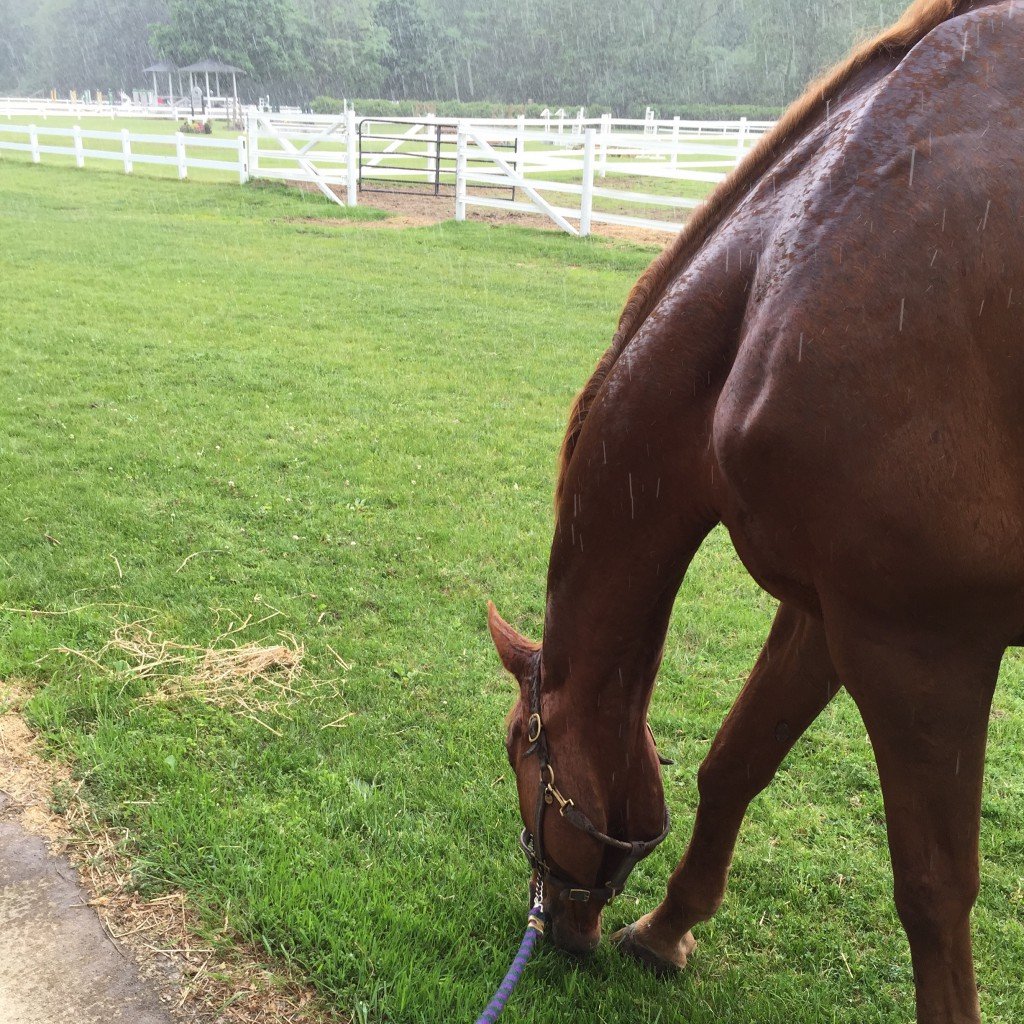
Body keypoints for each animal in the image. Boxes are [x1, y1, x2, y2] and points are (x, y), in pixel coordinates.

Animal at [487, 2, 1024, 1024]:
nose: (557, 925)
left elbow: (934, 887)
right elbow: (736, 760)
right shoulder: (831, 610)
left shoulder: (919, 644)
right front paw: (665, 932)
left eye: (515, 754)